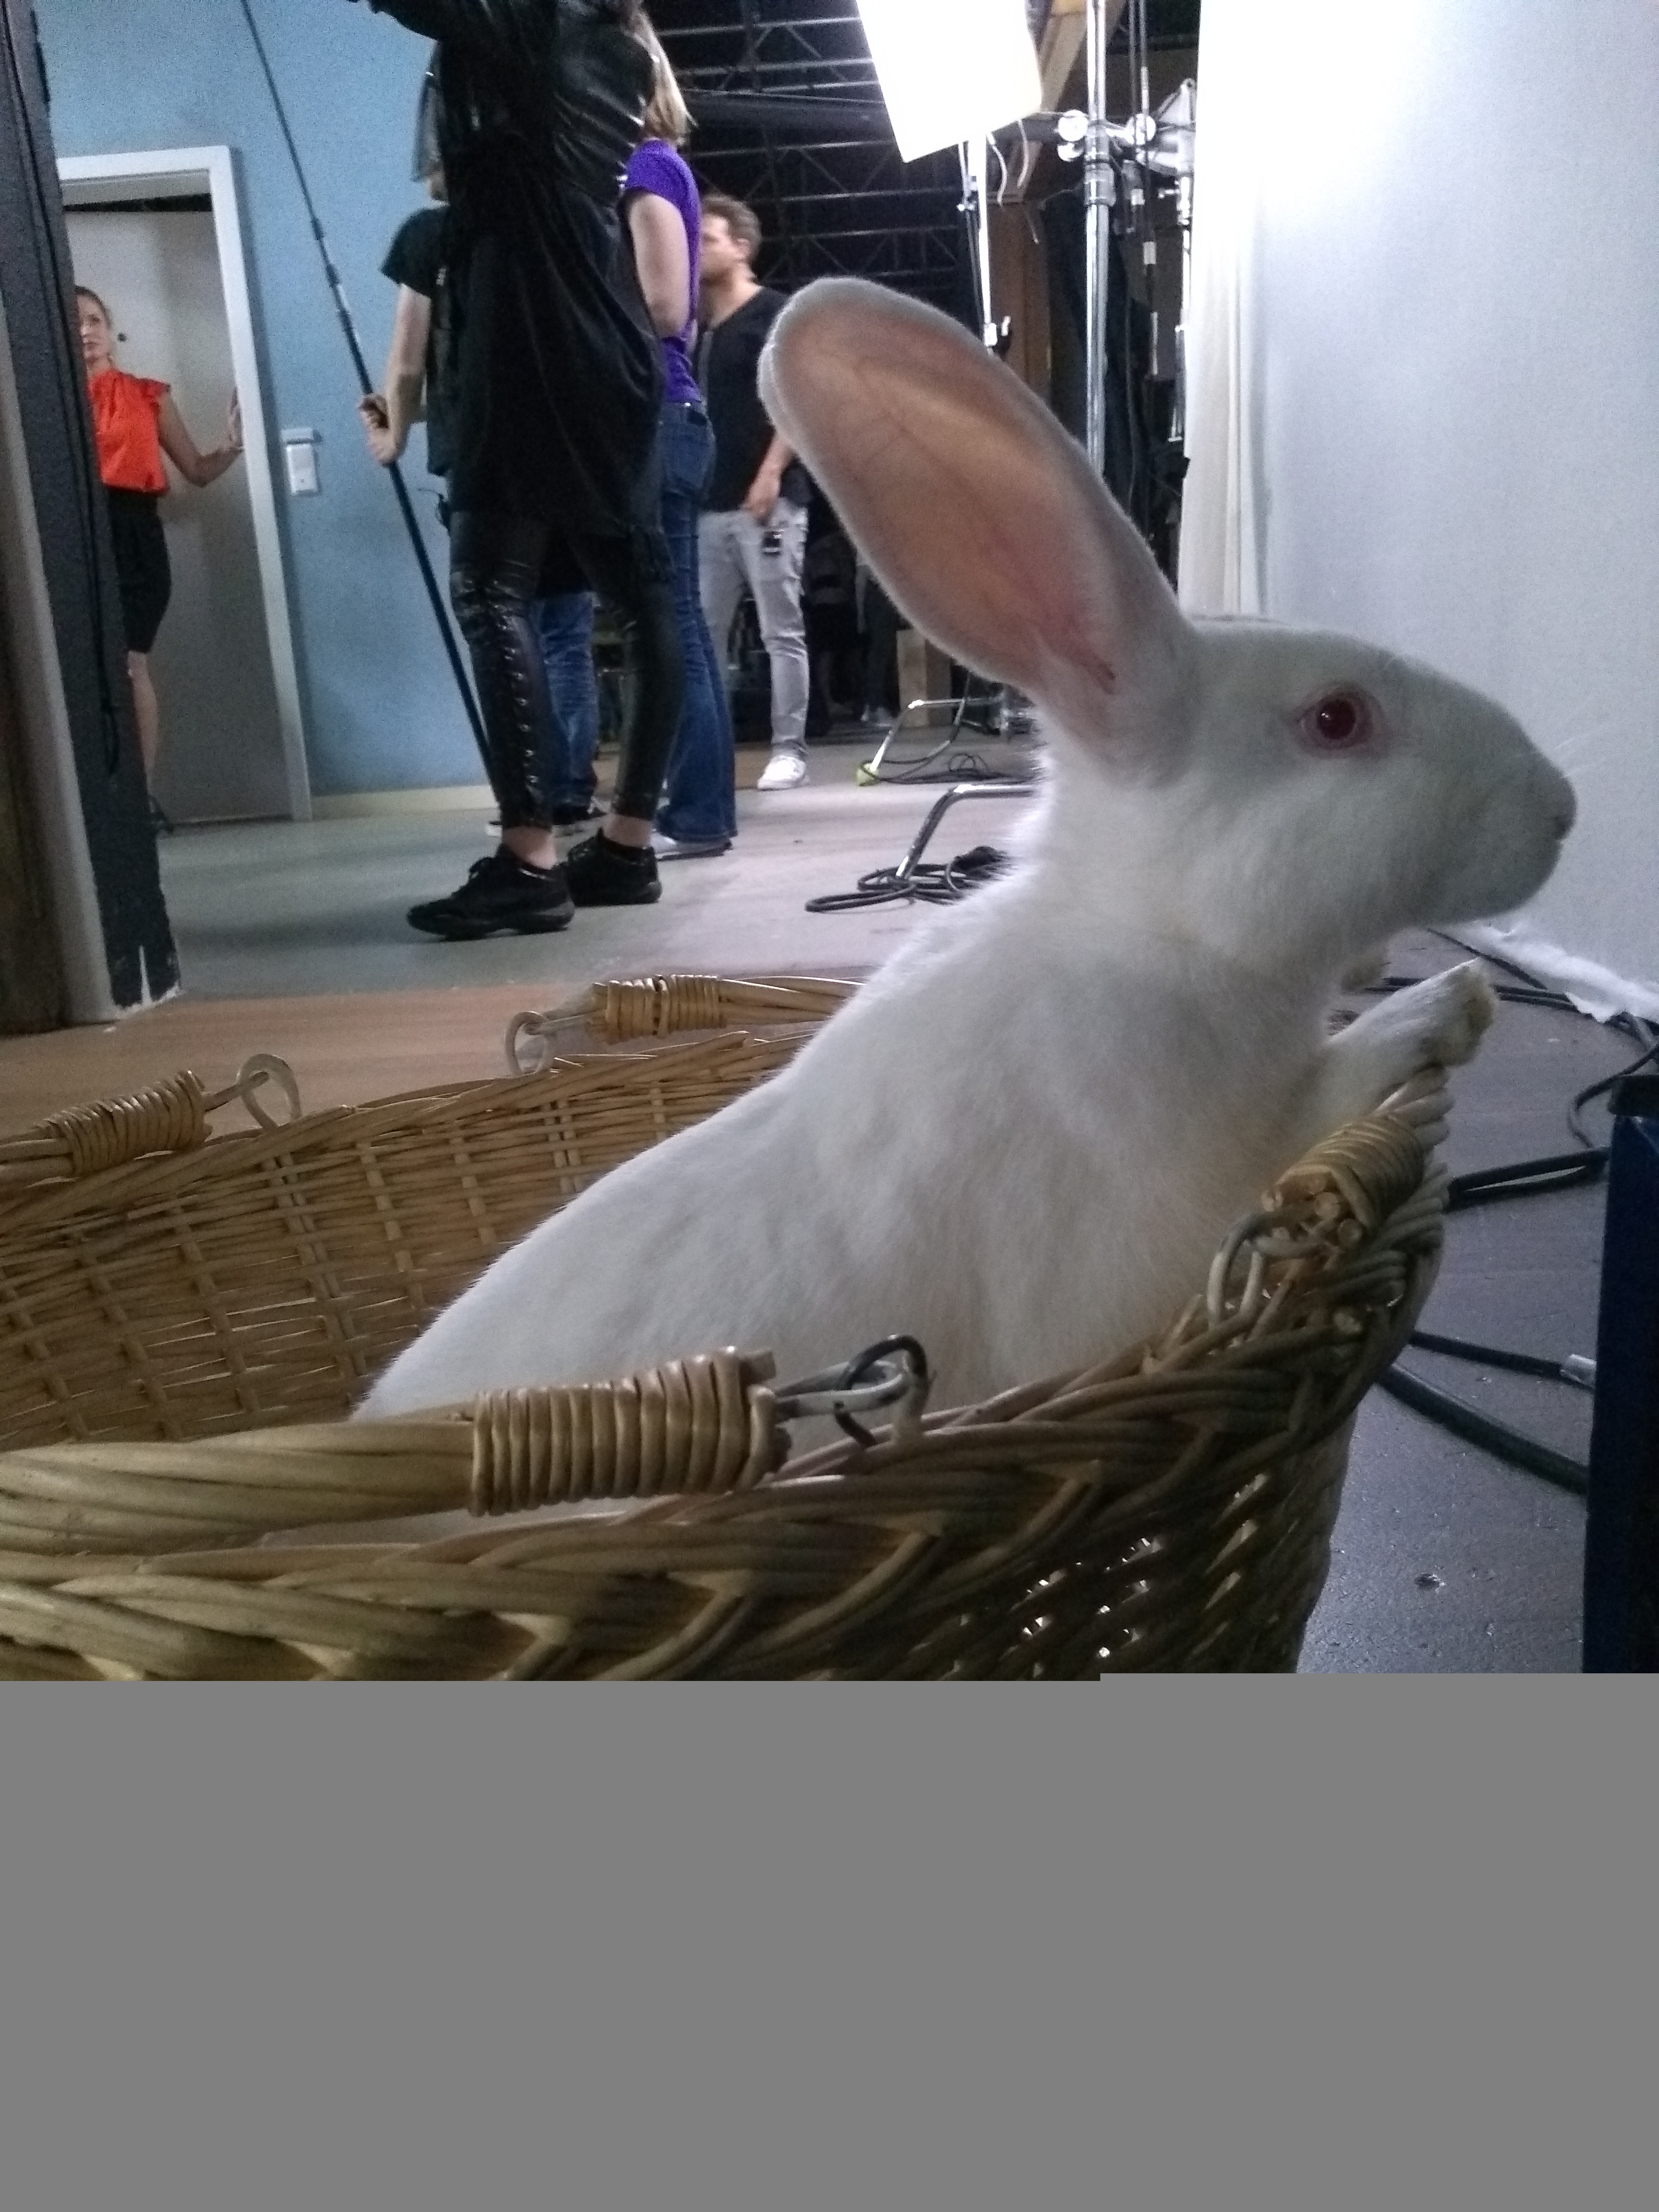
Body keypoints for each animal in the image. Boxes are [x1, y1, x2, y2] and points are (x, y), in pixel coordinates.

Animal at [359, 276, 1575, 1435]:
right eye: (1337, 720)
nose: (1561, 808)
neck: (1152, 939)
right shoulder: (1175, 1205)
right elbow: (1330, 1092)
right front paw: (1447, 1007)